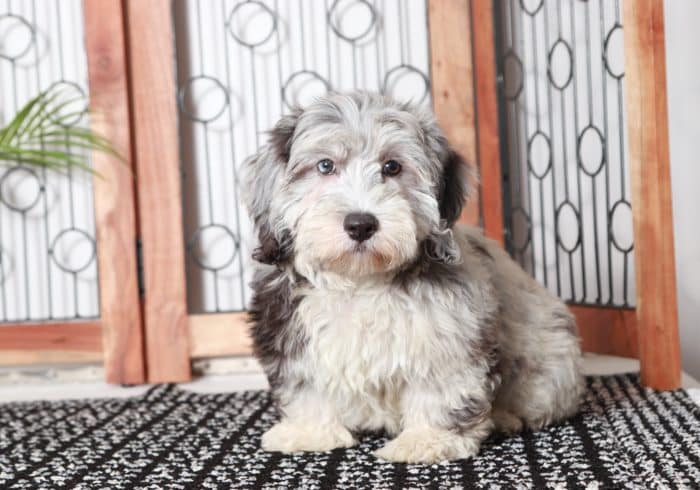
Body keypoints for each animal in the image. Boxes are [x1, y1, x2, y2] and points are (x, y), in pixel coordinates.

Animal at [243, 92, 584, 464]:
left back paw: (505, 416)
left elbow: (439, 386)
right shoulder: (291, 333)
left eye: (392, 167)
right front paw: (309, 432)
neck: (362, 281)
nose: (360, 224)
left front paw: (428, 440)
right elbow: (306, 385)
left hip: (548, 362)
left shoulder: (449, 334)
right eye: (325, 166)